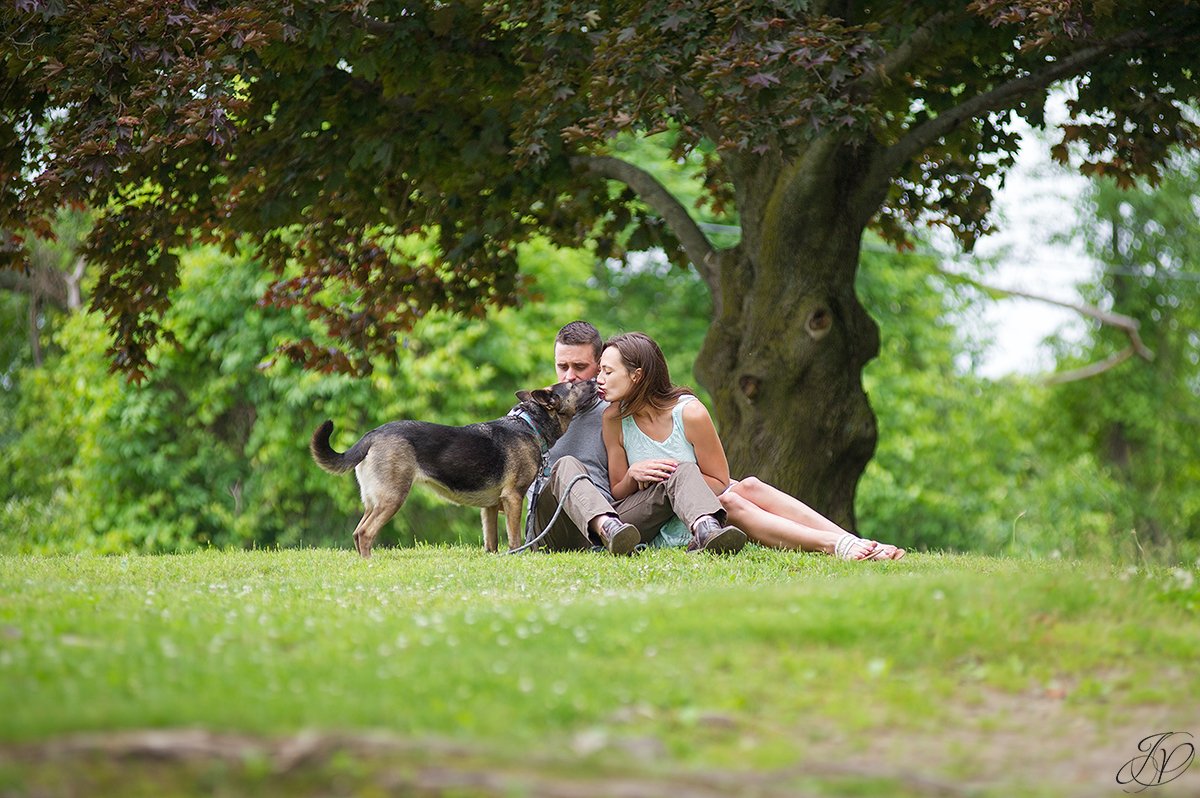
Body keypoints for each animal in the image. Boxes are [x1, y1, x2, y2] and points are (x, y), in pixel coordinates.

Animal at [312, 379, 597, 554]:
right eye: (572, 384)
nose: (594, 380)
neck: (529, 424)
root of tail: (373, 434)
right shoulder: (513, 498)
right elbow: (515, 538)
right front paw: (517, 555)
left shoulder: (490, 507)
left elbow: (491, 542)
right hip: (392, 498)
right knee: (365, 533)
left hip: (376, 500)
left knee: (358, 532)